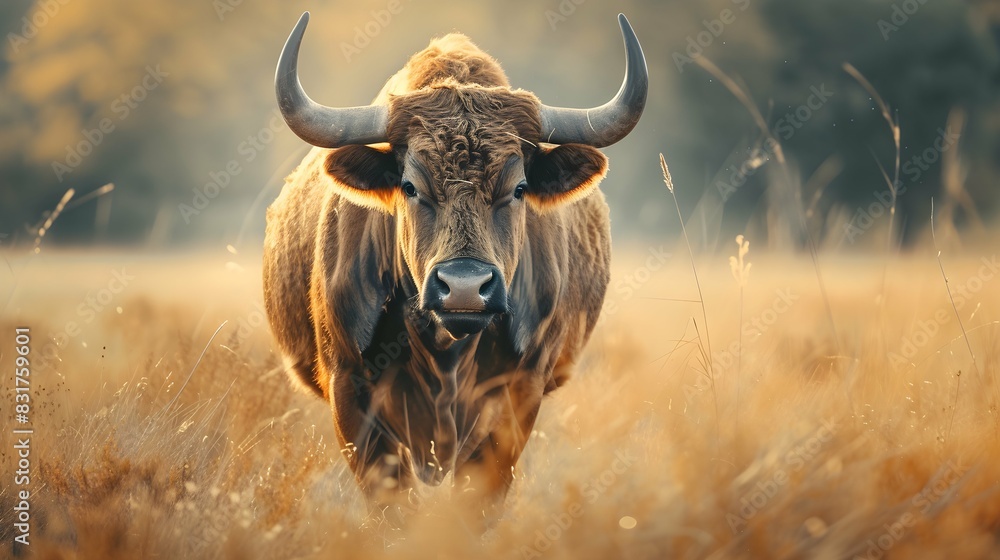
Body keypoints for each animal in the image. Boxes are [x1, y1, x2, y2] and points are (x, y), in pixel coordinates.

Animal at [263, 11, 646, 519]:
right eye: (410, 186)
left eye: (519, 188)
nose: (465, 287)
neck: (445, 354)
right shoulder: (349, 390)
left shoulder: (518, 396)